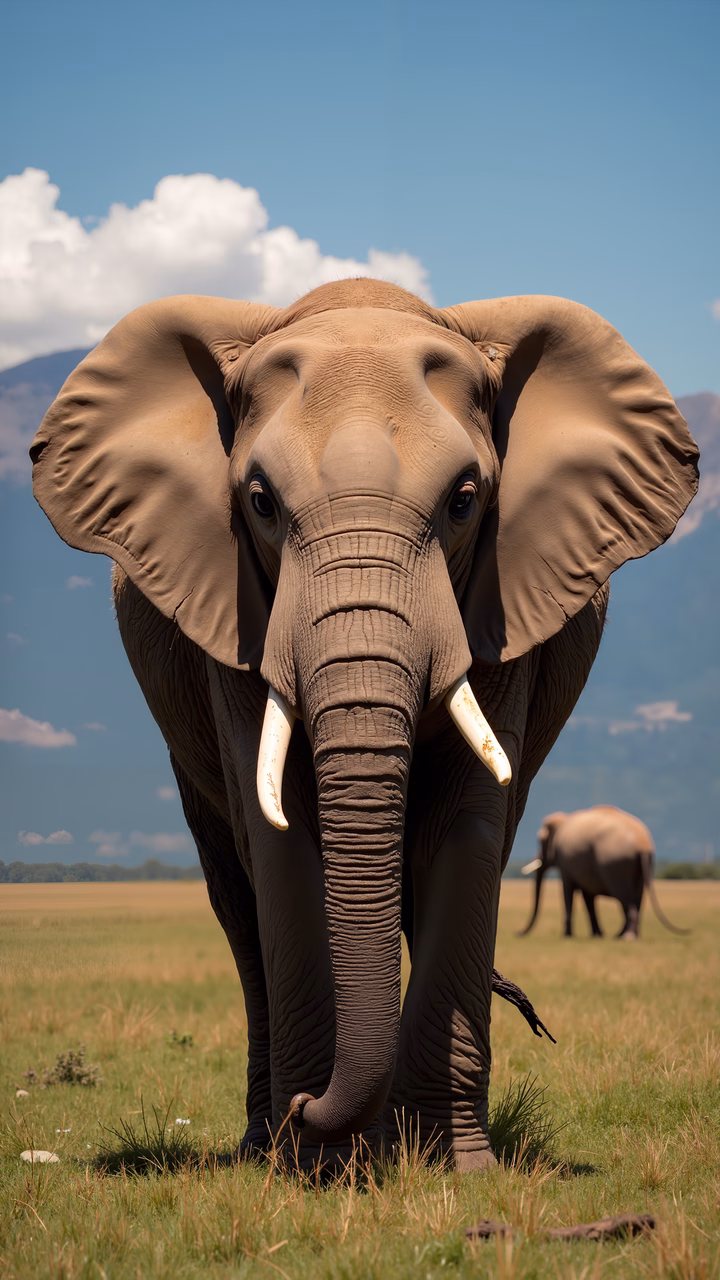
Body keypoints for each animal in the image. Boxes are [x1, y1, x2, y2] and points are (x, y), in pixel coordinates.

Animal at [519, 806, 690, 940]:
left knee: (626, 900)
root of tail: (642, 842)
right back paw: (624, 935)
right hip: (643, 865)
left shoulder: (565, 862)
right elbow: (588, 898)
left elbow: (568, 891)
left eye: (541, 841)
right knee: (636, 899)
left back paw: (627, 937)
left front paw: (566, 936)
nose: (517, 933)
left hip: (615, 864)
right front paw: (597, 935)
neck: (563, 819)